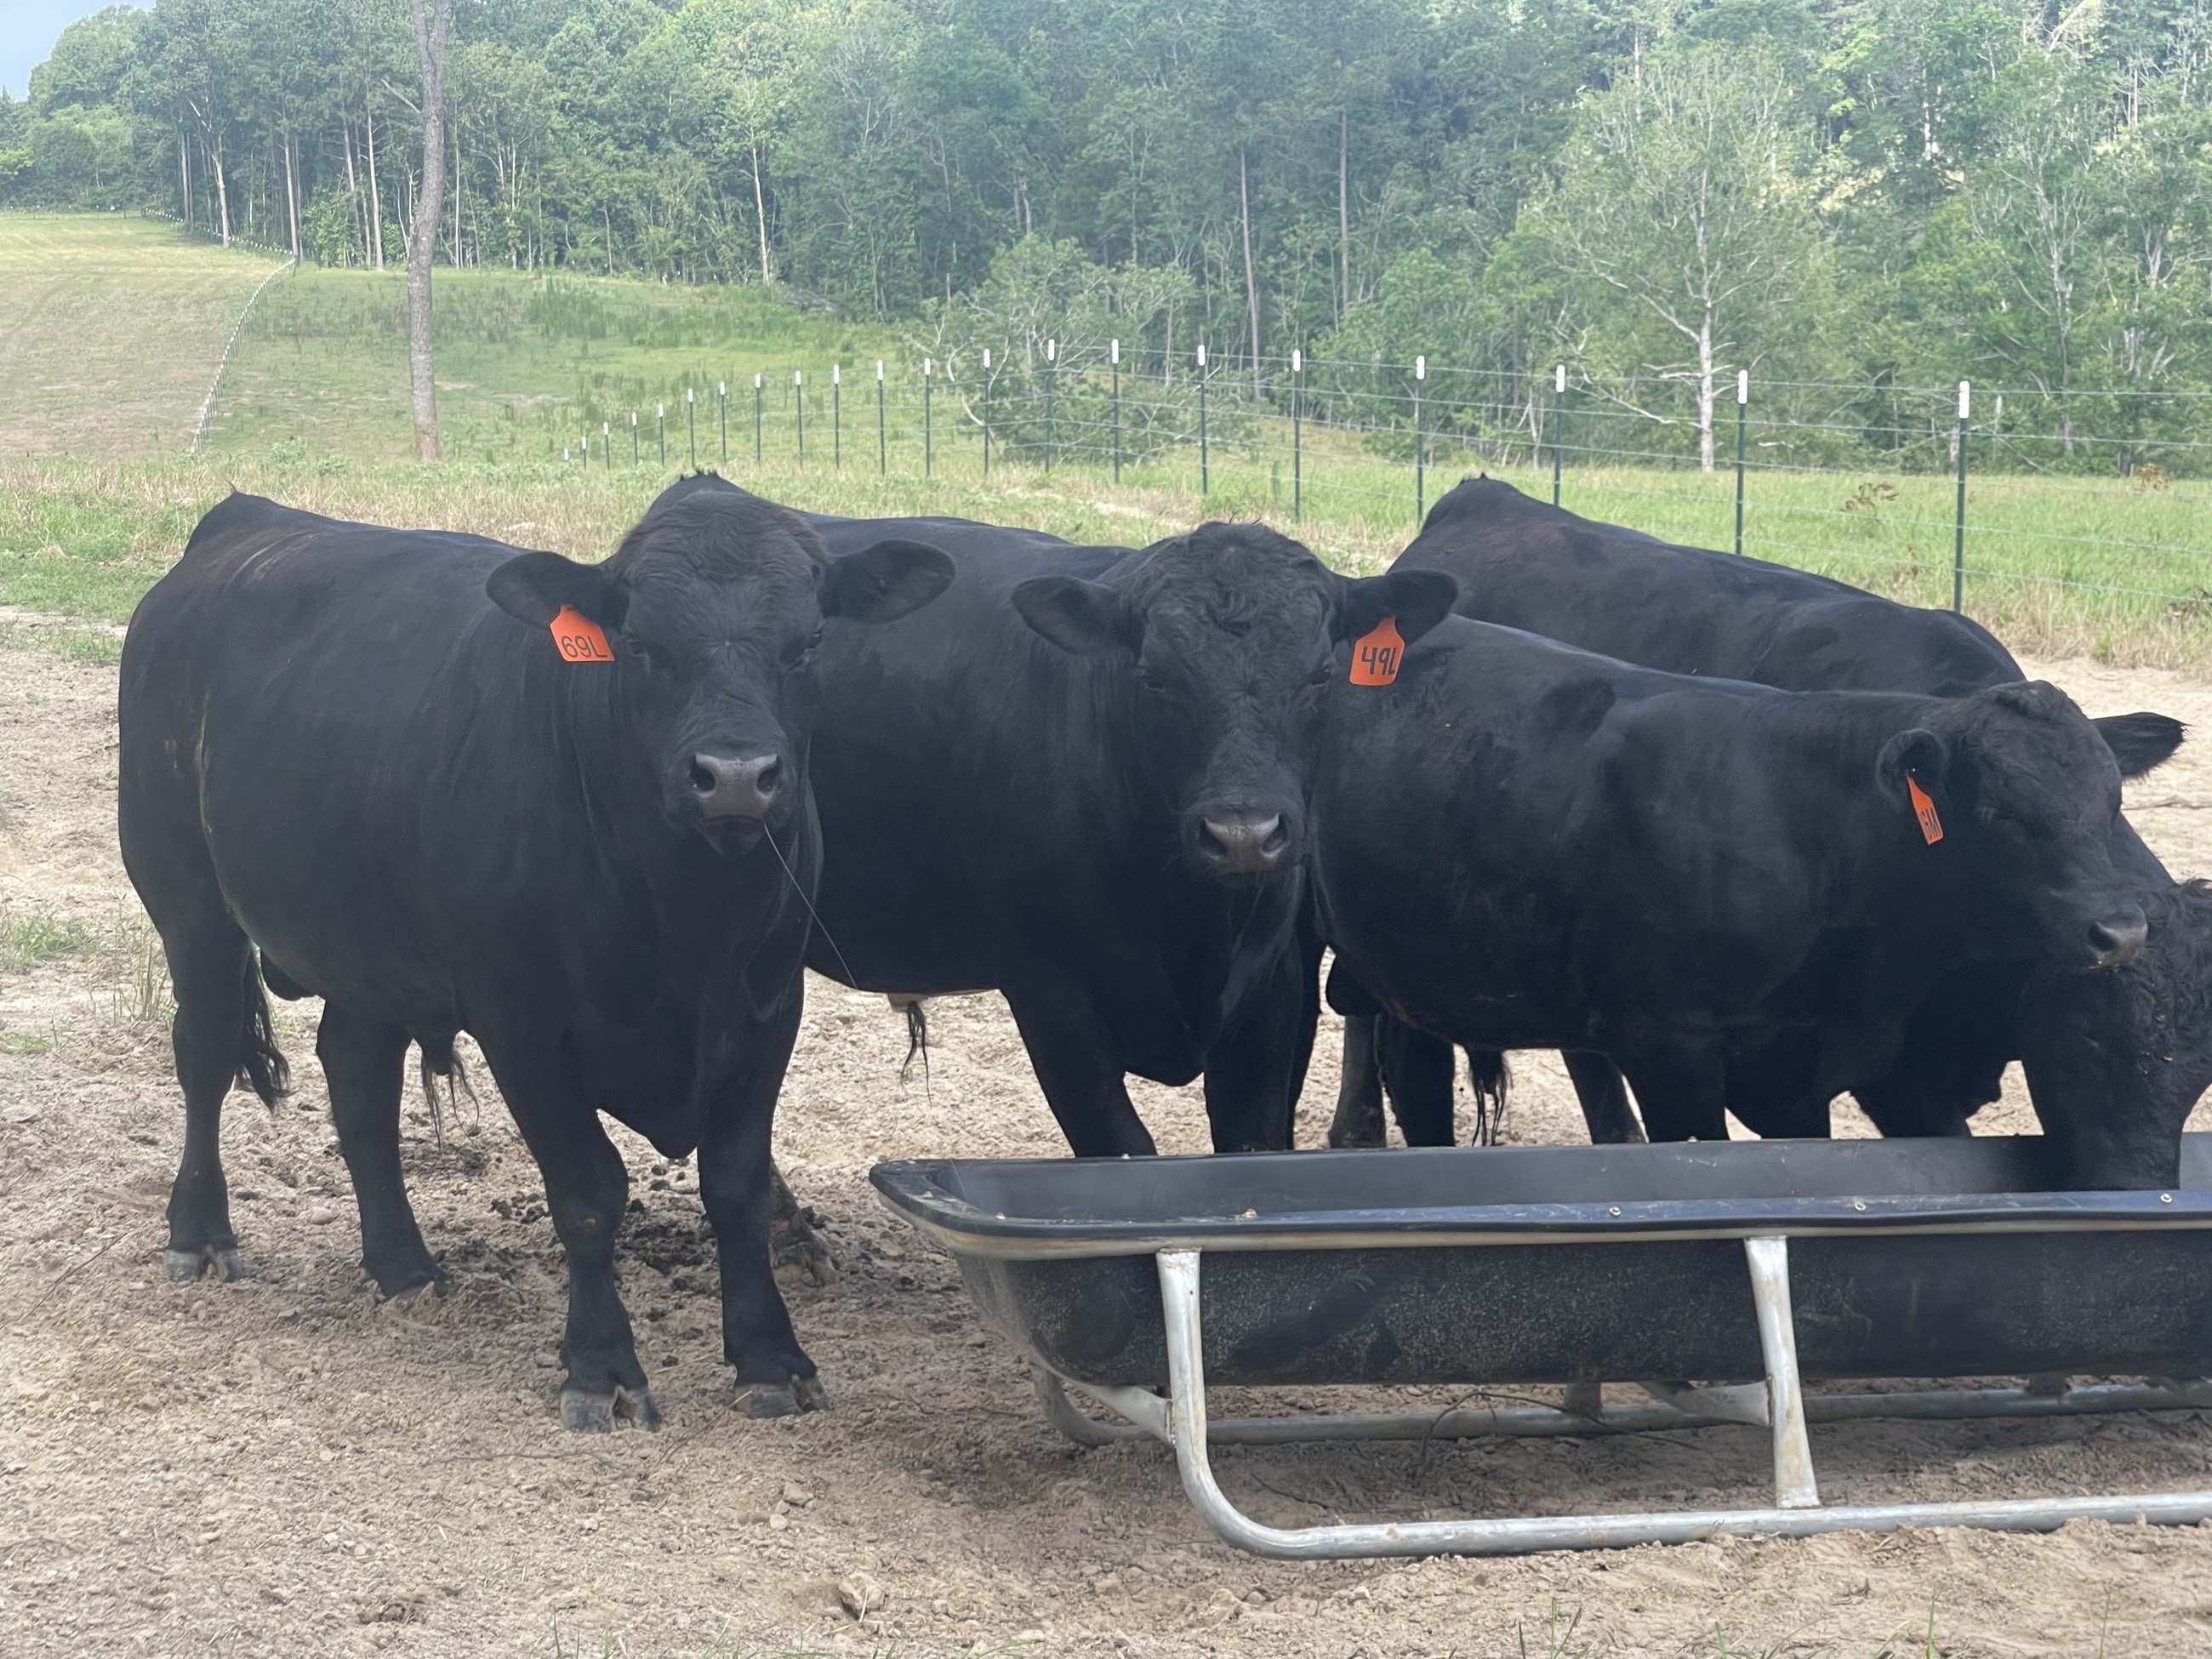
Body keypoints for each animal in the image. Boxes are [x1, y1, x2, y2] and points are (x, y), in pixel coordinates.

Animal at [119, 488, 951, 1429]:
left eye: (809, 642)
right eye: (641, 643)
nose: (735, 776)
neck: (687, 924)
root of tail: (242, 520)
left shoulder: (769, 1008)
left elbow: (735, 1184)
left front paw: (770, 1358)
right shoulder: (522, 1024)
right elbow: (588, 1193)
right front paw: (602, 1367)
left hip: (369, 946)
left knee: (358, 1077)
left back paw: (403, 1267)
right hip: (185, 894)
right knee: (204, 1052)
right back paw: (199, 1234)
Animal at [642, 476, 1455, 1157]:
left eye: (1320, 675)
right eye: (1155, 677)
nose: (1244, 836)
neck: (1187, 923)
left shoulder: (1274, 991)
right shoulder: (1050, 996)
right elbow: (1122, 1151)